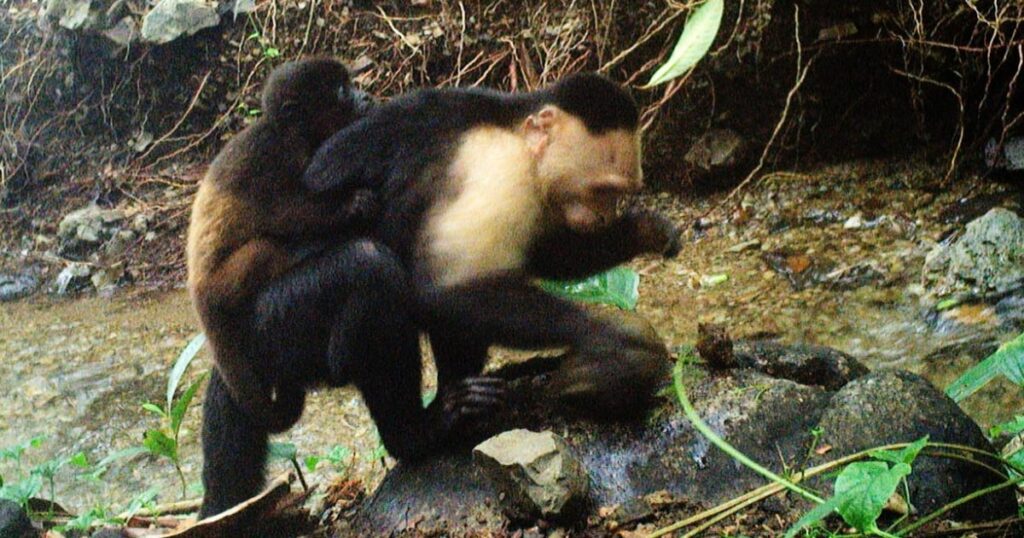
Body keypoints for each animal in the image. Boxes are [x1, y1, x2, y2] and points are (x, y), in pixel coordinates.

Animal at [186, 58, 379, 433]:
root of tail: (198, 295)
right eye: (342, 90)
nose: (365, 95)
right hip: (223, 283)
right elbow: (282, 213)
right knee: (265, 245)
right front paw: (353, 203)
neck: (292, 134)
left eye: (350, 84)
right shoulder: (275, 159)